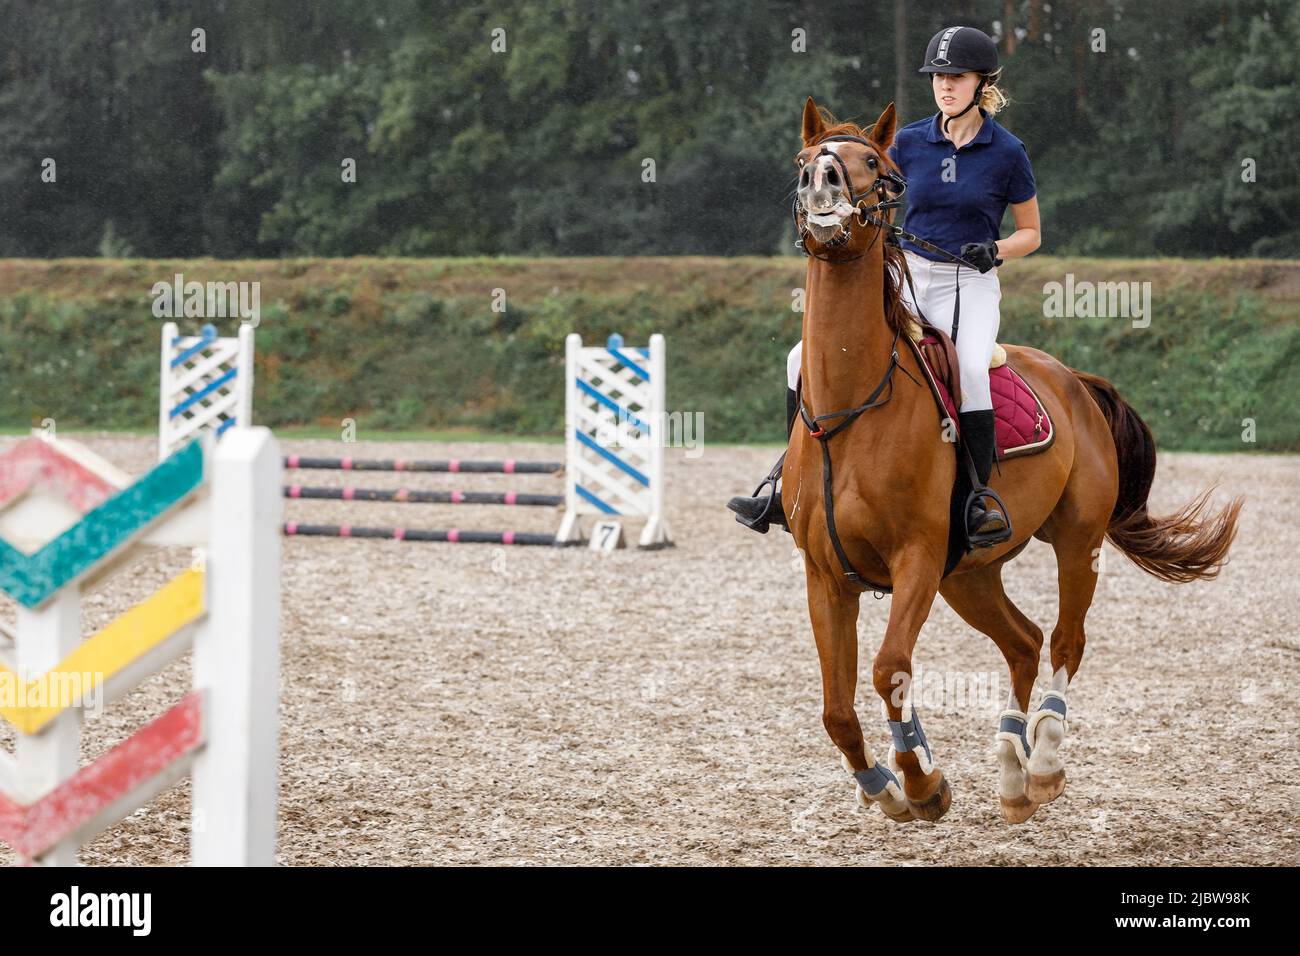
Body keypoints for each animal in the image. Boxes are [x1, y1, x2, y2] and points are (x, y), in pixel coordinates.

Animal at [780, 97, 1237, 822]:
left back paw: (1043, 760)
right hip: (968, 576)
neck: (850, 411)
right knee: (1022, 642)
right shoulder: (826, 574)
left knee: (1064, 641)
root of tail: (1074, 379)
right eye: (803, 159)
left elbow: (887, 669)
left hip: (1075, 540)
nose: (819, 184)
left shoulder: (915, 557)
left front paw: (922, 781)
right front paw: (883, 786)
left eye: (874, 164)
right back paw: (1012, 769)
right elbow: (836, 709)